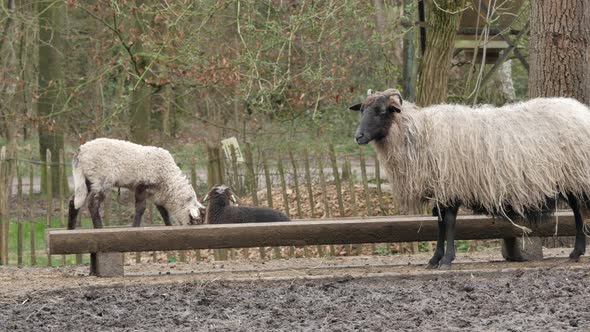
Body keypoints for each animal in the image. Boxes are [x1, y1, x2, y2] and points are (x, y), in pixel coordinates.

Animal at [66, 137, 206, 228]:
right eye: (194, 221)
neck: (168, 178)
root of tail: (80, 152)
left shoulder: (157, 193)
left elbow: (162, 210)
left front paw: (168, 225)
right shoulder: (142, 186)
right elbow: (141, 208)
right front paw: (135, 226)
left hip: (88, 179)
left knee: (74, 201)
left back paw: (70, 228)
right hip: (101, 179)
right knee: (92, 203)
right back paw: (99, 227)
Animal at [350, 89, 590, 270]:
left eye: (382, 111)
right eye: (361, 110)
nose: (358, 136)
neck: (419, 132)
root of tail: (582, 110)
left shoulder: (450, 185)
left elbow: (448, 222)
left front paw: (446, 260)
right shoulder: (441, 189)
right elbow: (439, 222)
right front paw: (434, 259)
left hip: (577, 176)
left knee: (578, 212)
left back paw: (576, 252)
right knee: (578, 210)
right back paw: (576, 253)